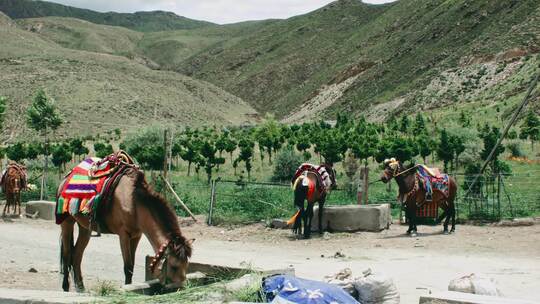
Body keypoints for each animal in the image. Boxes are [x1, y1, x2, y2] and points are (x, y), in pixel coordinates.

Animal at [58, 169, 193, 292]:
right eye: (174, 266)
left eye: (186, 265)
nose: (181, 287)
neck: (135, 204)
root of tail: (65, 180)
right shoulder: (124, 235)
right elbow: (127, 267)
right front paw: (127, 287)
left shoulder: (136, 236)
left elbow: (132, 266)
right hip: (67, 222)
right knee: (67, 254)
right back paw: (65, 287)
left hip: (85, 228)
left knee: (77, 255)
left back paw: (81, 287)